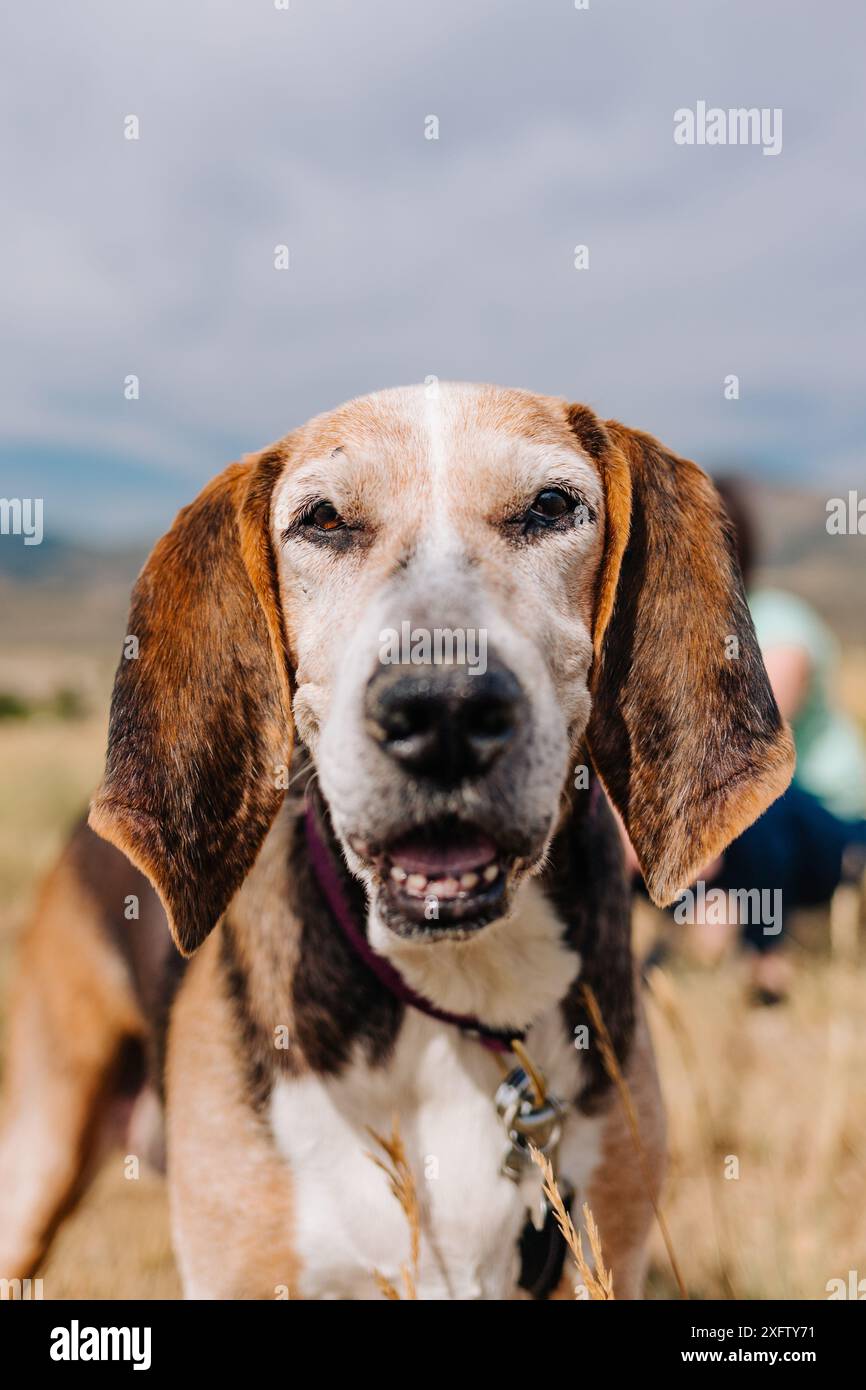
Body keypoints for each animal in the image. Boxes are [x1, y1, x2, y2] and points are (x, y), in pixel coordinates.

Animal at [0, 386, 795, 1295]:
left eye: (551, 506)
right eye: (323, 520)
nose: (444, 708)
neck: (459, 990)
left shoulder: (602, 1253)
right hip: (39, 1157)